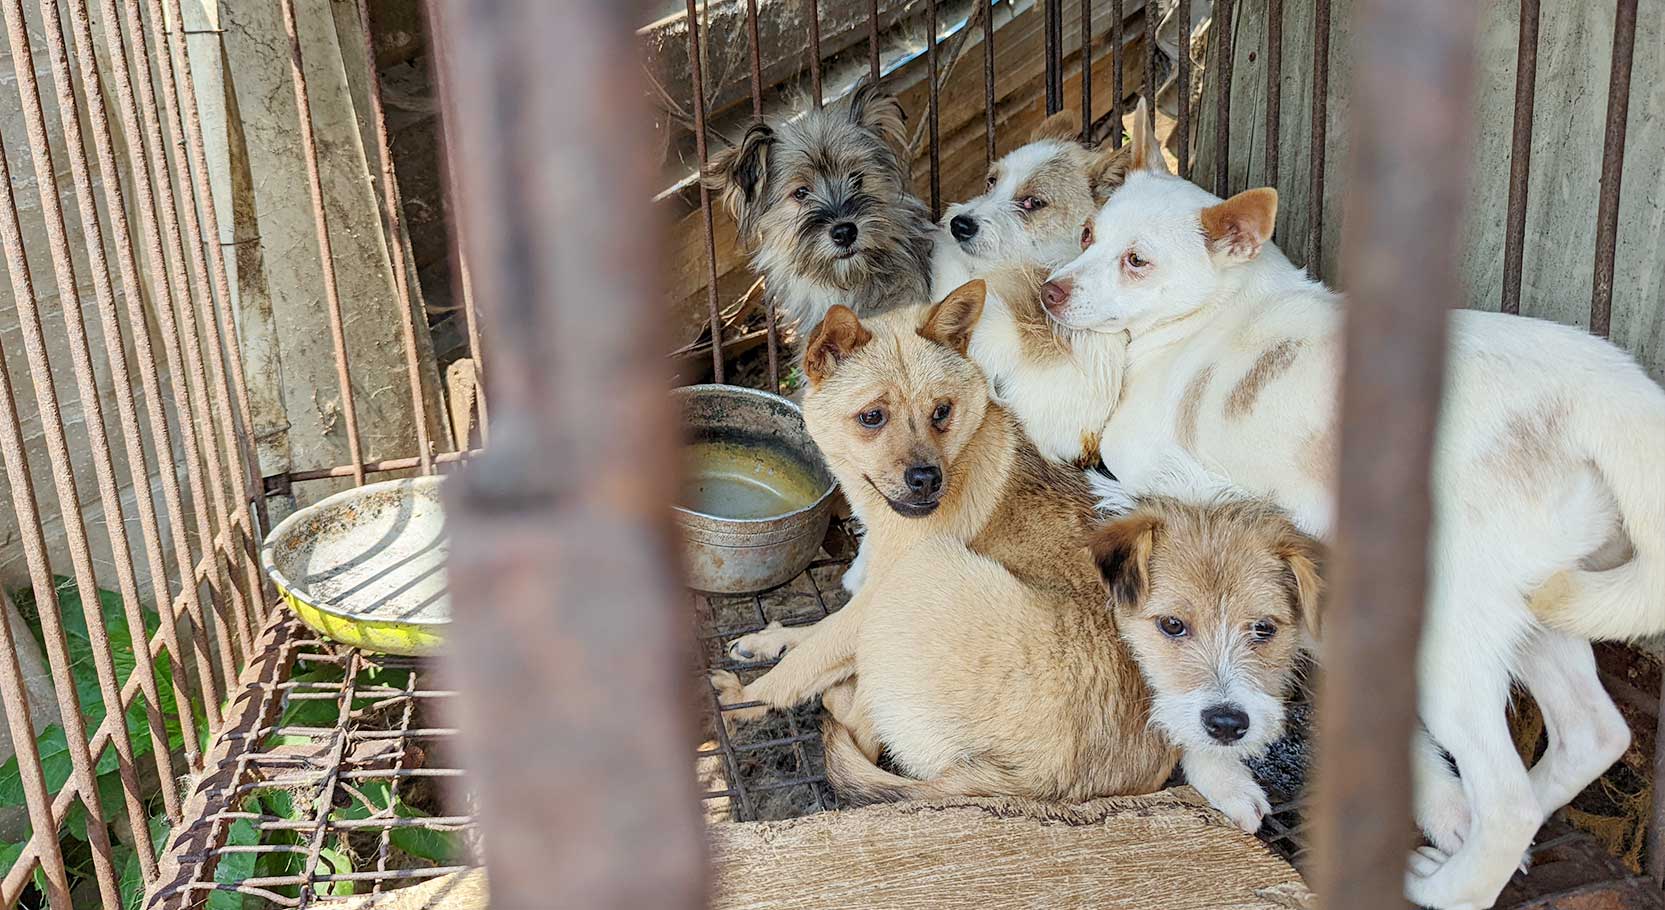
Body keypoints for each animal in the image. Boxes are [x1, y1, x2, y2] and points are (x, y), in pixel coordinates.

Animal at [709, 286, 1178, 805]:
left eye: (941, 412)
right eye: (872, 417)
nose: (926, 480)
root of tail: (1046, 786)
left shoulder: (881, 594)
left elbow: (806, 660)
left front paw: (744, 700)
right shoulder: (870, 593)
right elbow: (818, 632)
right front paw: (769, 640)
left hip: (919, 577)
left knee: (863, 734)